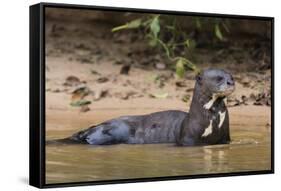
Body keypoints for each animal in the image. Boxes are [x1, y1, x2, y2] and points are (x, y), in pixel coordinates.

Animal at [49, 68, 234, 146]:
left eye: (231, 76)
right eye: (218, 78)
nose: (231, 82)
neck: (212, 123)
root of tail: (87, 130)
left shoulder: (226, 137)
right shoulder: (187, 139)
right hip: (111, 131)